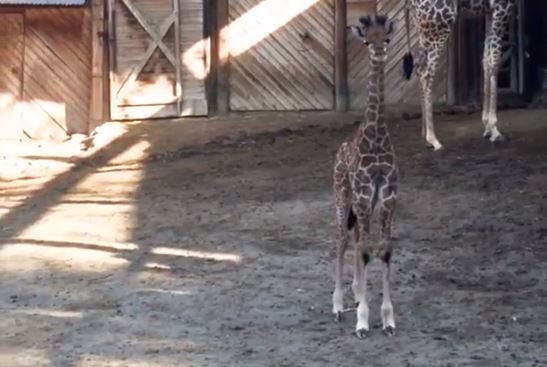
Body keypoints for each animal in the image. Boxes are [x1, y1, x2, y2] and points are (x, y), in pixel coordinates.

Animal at [404, 0, 516, 151]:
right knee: (426, 72)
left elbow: (485, 60)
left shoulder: (489, 12)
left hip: (424, 27)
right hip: (441, 24)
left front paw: (487, 127)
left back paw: (425, 134)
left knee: (418, 65)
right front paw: (494, 129)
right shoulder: (501, 8)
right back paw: (433, 139)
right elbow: (494, 62)